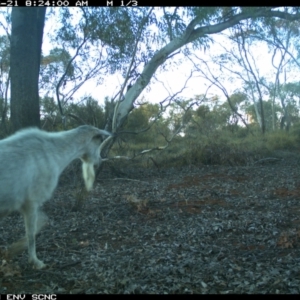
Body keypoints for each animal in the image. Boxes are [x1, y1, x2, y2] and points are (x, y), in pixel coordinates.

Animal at [0, 125, 111, 268]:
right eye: (99, 141)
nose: (99, 161)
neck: (56, 154)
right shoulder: (31, 201)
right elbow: (31, 233)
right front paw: (35, 261)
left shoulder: (18, 204)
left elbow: (42, 221)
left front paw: (13, 250)